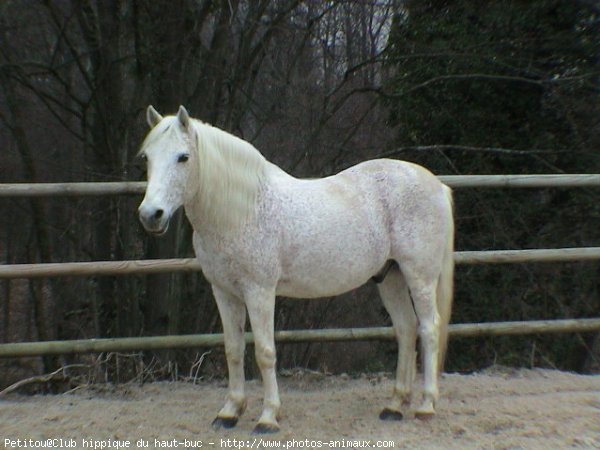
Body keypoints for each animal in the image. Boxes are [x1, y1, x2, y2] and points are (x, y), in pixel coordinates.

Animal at [138, 104, 452, 432]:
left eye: (183, 157)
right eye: (146, 157)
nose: (151, 215)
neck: (243, 210)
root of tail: (437, 185)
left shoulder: (259, 292)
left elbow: (265, 352)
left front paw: (268, 417)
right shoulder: (224, 292)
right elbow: (233, 350)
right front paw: (230, 411)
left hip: (419, 277)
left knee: (429, 328)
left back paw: (426, 405)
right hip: (390, 277)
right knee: (406, 329)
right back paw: (394, 405)